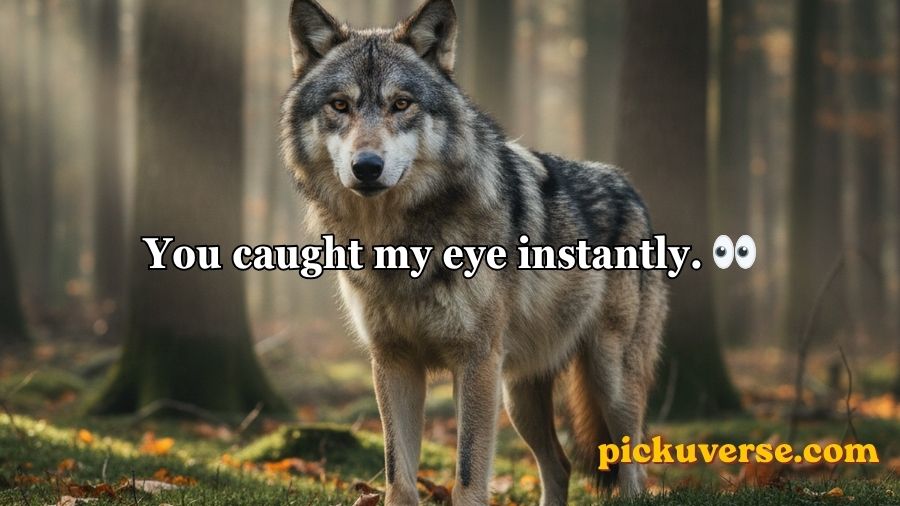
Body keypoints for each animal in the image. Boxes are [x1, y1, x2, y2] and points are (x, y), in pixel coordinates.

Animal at [281, 1, 668, 504]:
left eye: (401, 103)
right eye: (340, 105)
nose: (367, 166)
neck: (399, 242)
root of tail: (631, 188)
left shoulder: (476, 360)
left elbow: (467, 475)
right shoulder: (393, 361)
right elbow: (398, 474)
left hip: (609, 378)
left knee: (633, 469)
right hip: (519, 395)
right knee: (560, 464)